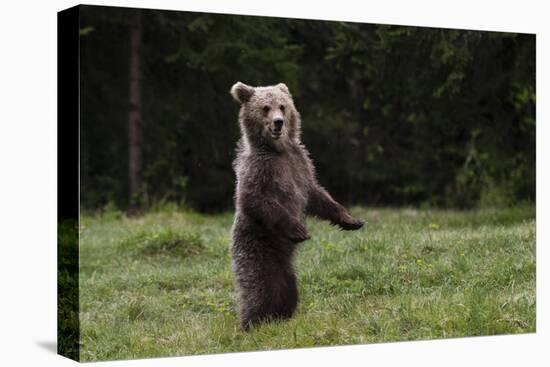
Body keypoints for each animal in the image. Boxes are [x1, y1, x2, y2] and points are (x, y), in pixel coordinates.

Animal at [230, 82, 364, 330]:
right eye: (265, 107)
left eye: (282, 106)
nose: (278, 122)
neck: (277, 150)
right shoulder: (260, 170)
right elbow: (255, 200)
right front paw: (300, 230)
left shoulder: (300, 164)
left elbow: (317, 195)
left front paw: (351, 220)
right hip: (258, 247)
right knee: (261, 288)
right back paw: (251, 322)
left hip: (285, 266)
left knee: (288, 289)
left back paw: (282, 315)